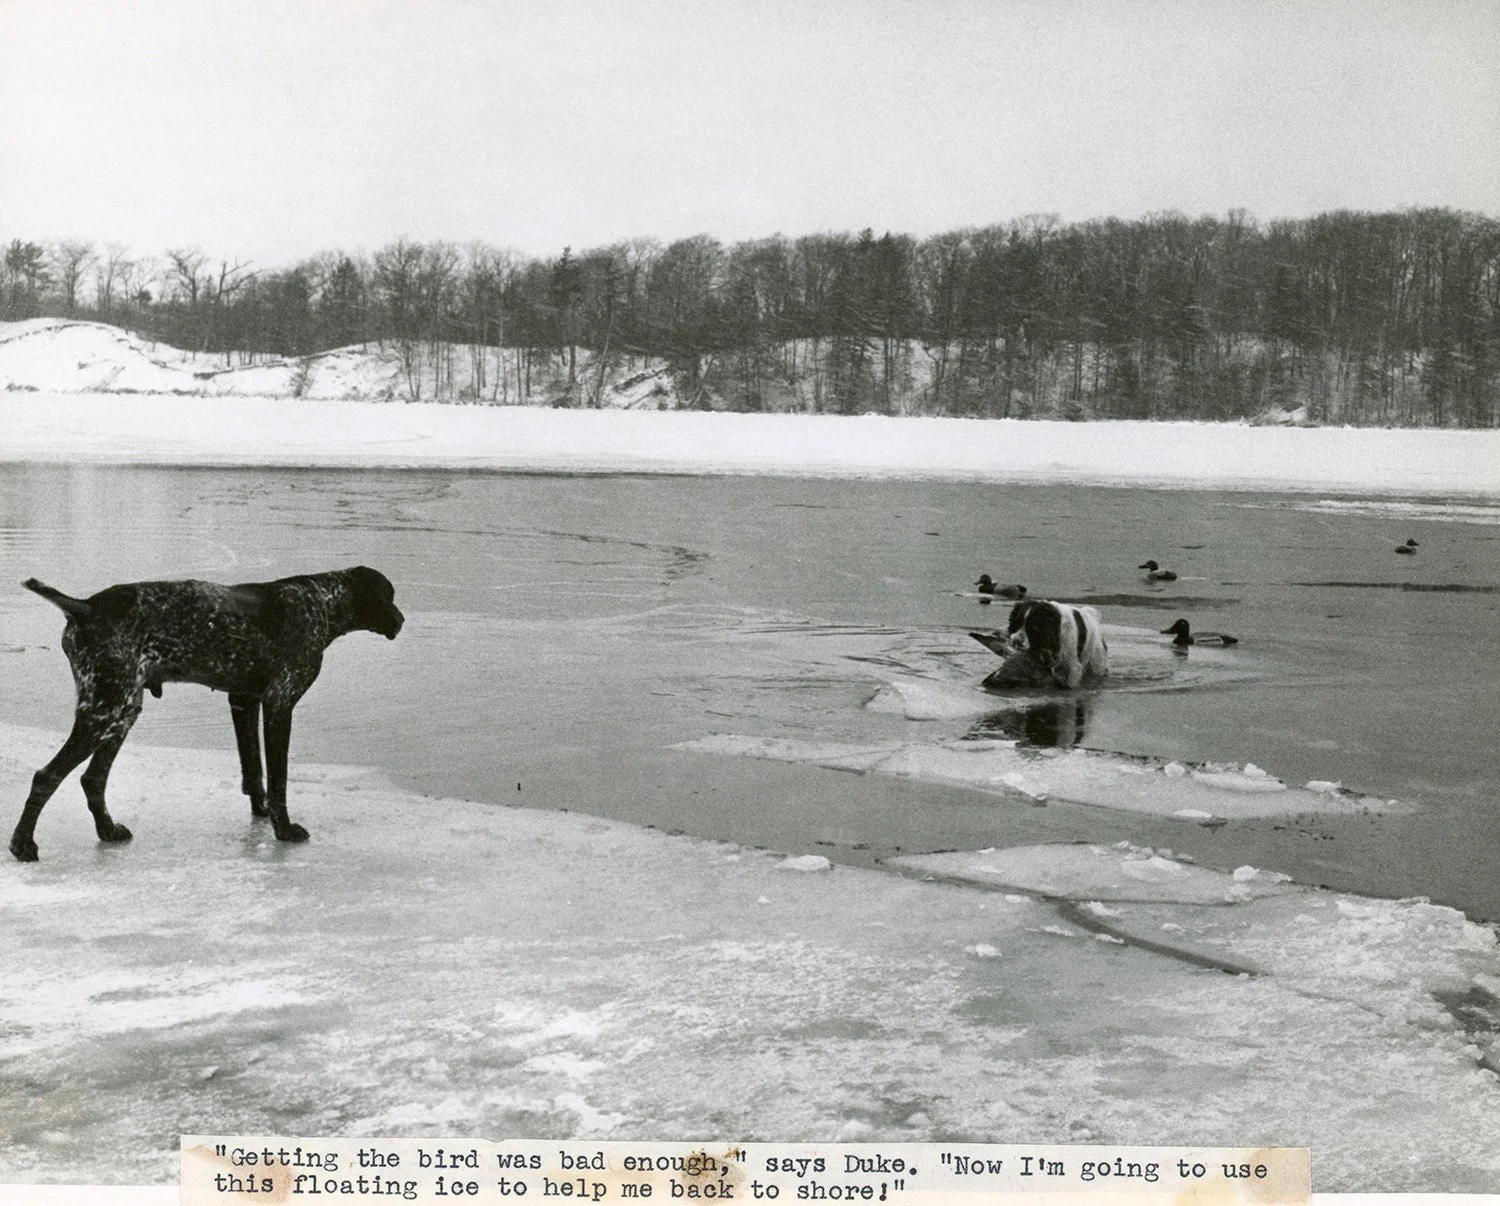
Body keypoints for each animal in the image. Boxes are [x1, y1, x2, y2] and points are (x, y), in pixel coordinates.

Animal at [10, 567, 405, 864]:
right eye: (389, 596)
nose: (402, 620)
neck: (320, 601)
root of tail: (85, 607)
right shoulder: (280, 703)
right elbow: (278, 779)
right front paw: (283, 829)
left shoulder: (244, 701)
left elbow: (254, 770)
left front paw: (261, 812)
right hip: (104, 710)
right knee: (47, 776)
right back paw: (23, 844)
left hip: (122, 710)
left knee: (93, 779)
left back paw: (108, 831)